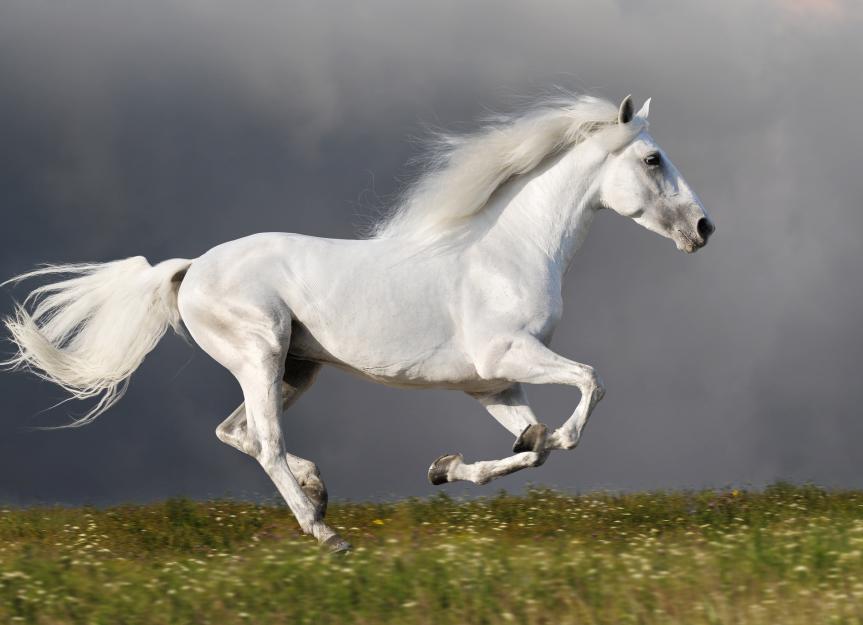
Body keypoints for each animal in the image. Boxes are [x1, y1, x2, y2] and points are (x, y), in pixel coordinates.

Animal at [3, 94, 714, 552]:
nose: (704, 228)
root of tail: (190, 269)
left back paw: (318, 490)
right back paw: (325, 532)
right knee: (263, 440)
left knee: (237, 431)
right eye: (652, 160)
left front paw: (446, 468)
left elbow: (530, 447)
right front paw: (545, 439)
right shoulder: (507, 356)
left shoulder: (490, 384)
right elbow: (588, 389)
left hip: (297, 369)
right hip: (261, 353)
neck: (506, 251)